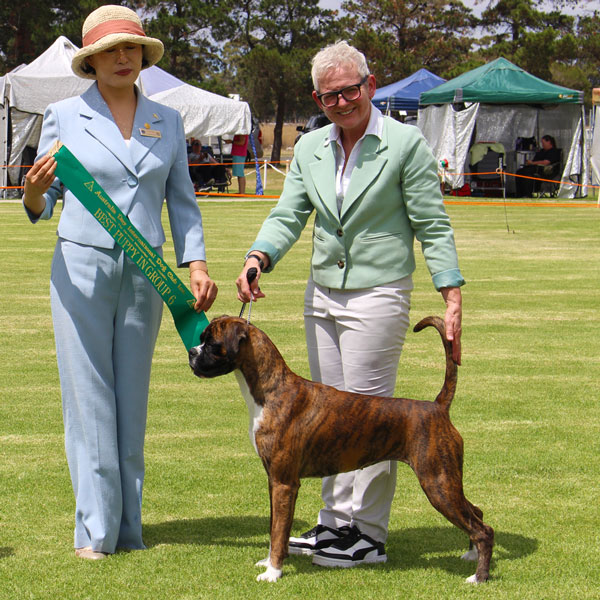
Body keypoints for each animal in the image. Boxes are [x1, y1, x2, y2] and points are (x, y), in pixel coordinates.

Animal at [190, 316, 494, 584]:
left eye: (211, 343)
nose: (191, 353)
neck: (272, 390)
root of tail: (438, 407)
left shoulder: (285, 483)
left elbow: (278, 533)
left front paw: (273, 572)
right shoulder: (273, 481)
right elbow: (275, 525)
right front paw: (268, 562)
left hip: (437, 483)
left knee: (483, 529)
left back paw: (478, 577)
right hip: (446, 481)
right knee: (476, 512)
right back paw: (470, 555)